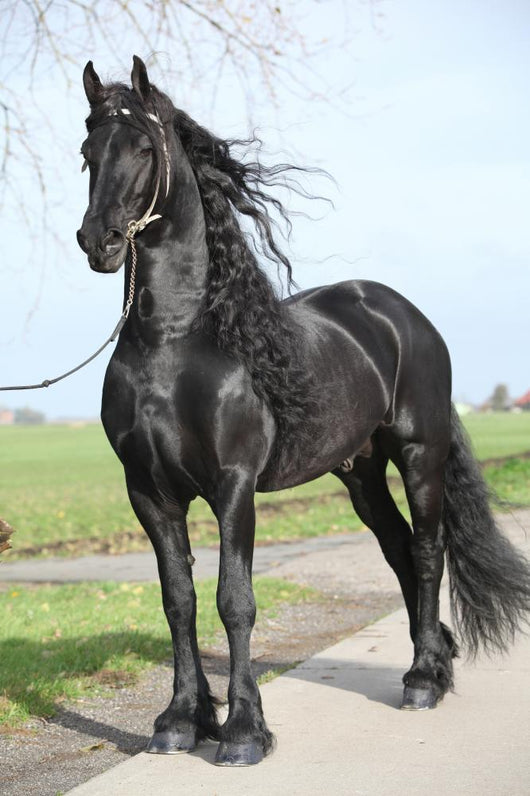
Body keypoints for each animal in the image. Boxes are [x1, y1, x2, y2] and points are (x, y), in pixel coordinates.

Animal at [77, 56, 530, 767]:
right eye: (87, 151)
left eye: (144, 149)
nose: (98, 242)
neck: (173, 343)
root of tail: (404, 315)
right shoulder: (149, 492)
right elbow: (178, 601)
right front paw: (181, 720)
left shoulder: (234, 487)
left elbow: (234, 601)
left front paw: (243, 732)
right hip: (360, 473)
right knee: (399, 551)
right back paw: (434, 662)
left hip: (419, 454)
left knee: (427, 552)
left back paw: (423, 681)